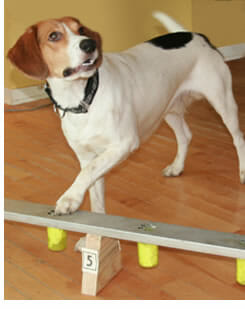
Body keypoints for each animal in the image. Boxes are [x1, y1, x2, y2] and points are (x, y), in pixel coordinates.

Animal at [8, 11, 245, 214]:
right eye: (54, 36)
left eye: (81, 29)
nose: (90, 44)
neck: (84, 99)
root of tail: (196, 35)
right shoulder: (87, 155)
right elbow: (94, 190)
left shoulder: (123, 144)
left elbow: (85, 173)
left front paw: (70, 198)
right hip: (168, 107)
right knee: (185, 135)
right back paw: (177, 167)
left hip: (222, 101)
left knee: (238, 138)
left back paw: (243, 172)